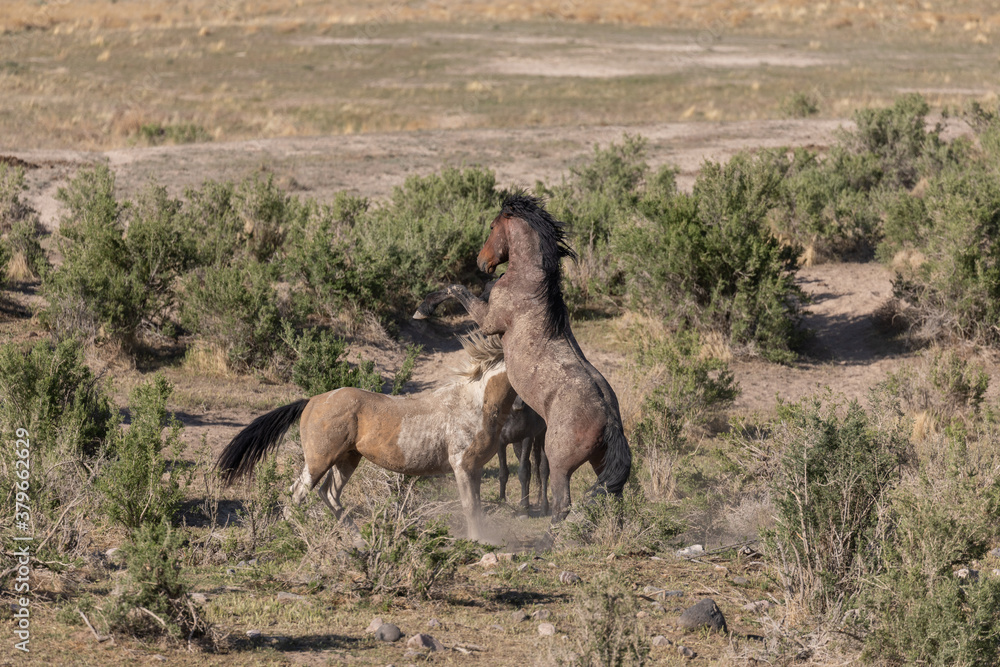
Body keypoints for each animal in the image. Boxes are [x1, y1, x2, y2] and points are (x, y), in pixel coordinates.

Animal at [215, 333, 516, 542]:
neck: (475, 403)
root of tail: (312, 400)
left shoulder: (475, 468)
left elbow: (477, 506)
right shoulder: (461, 466)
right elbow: (470, 507)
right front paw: (479, 542)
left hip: (347, 460)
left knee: (328, 494)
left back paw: (358, 540)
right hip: (319, 460)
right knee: (297, 496)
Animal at [414, 191, 631, 519]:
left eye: (492, 227)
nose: (482, 261)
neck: (528, 283)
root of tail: (609, 422)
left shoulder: (488, 322)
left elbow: (456, 288)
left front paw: (424, 308)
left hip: (560, 462)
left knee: (561, 500)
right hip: (599, 462)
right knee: (612, 502)